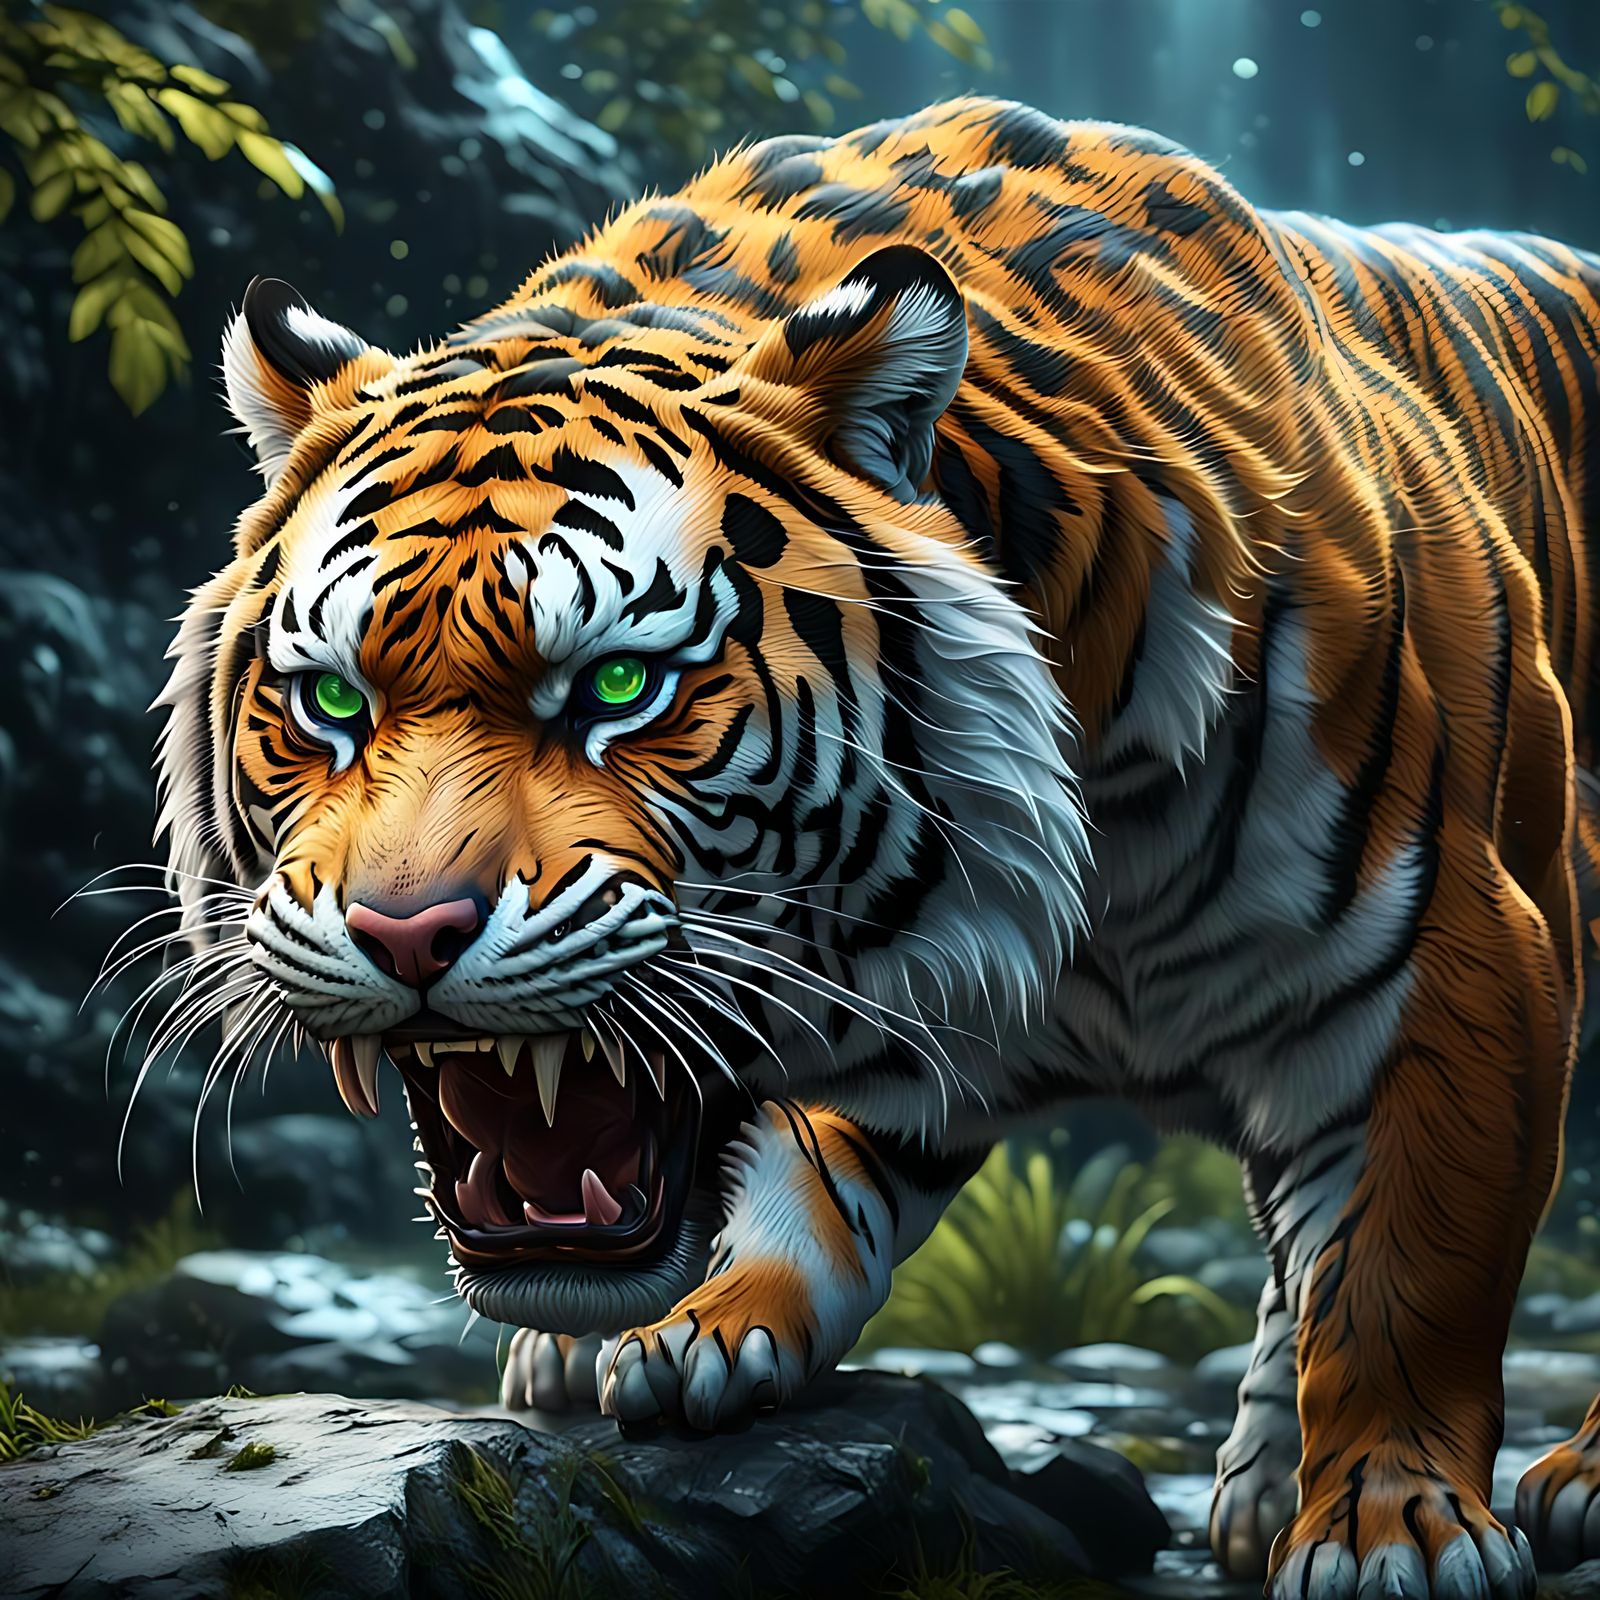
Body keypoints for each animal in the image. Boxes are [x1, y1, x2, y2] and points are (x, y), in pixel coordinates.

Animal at [148, 97, 1600, 1598]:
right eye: (333, 701)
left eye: (619, 686)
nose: (406, 933)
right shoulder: (893, 973)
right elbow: (817, 1164)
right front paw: (708, 1333)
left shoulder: (1460, 953)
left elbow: (1402, 1268)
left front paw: (1390, 1526)